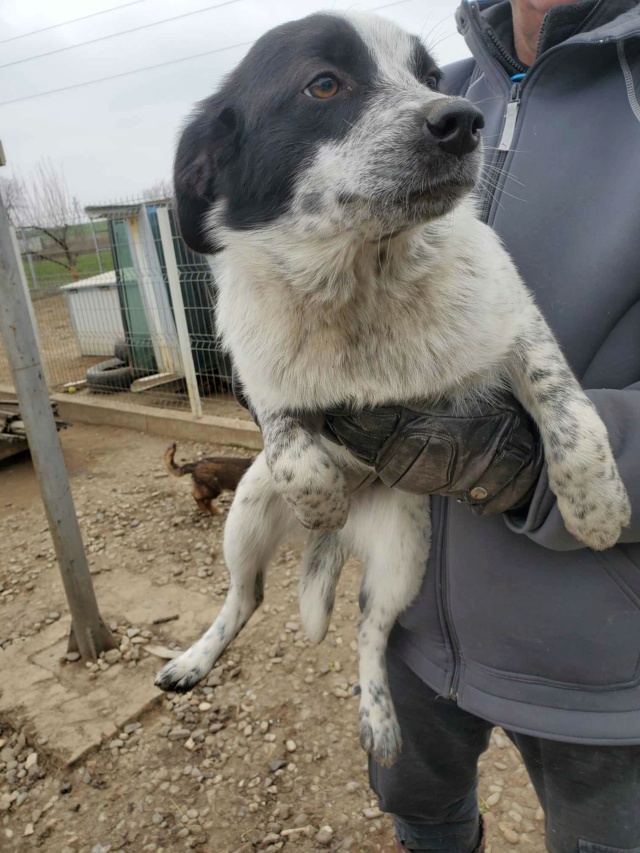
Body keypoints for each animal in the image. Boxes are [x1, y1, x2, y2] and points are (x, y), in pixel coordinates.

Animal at [154, 8, 632, 764]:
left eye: (431, 77)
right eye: (324, 83)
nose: (463, 121)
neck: (363, 281)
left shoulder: (517, 326)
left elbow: (570, 412)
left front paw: (596, 509)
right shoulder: (259, 379)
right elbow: (291, 440)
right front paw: (318, 493)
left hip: (402, 554)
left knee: (366, 629)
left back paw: (378, 720)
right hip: (248, 509)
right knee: (244, 596)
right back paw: (195, 658)